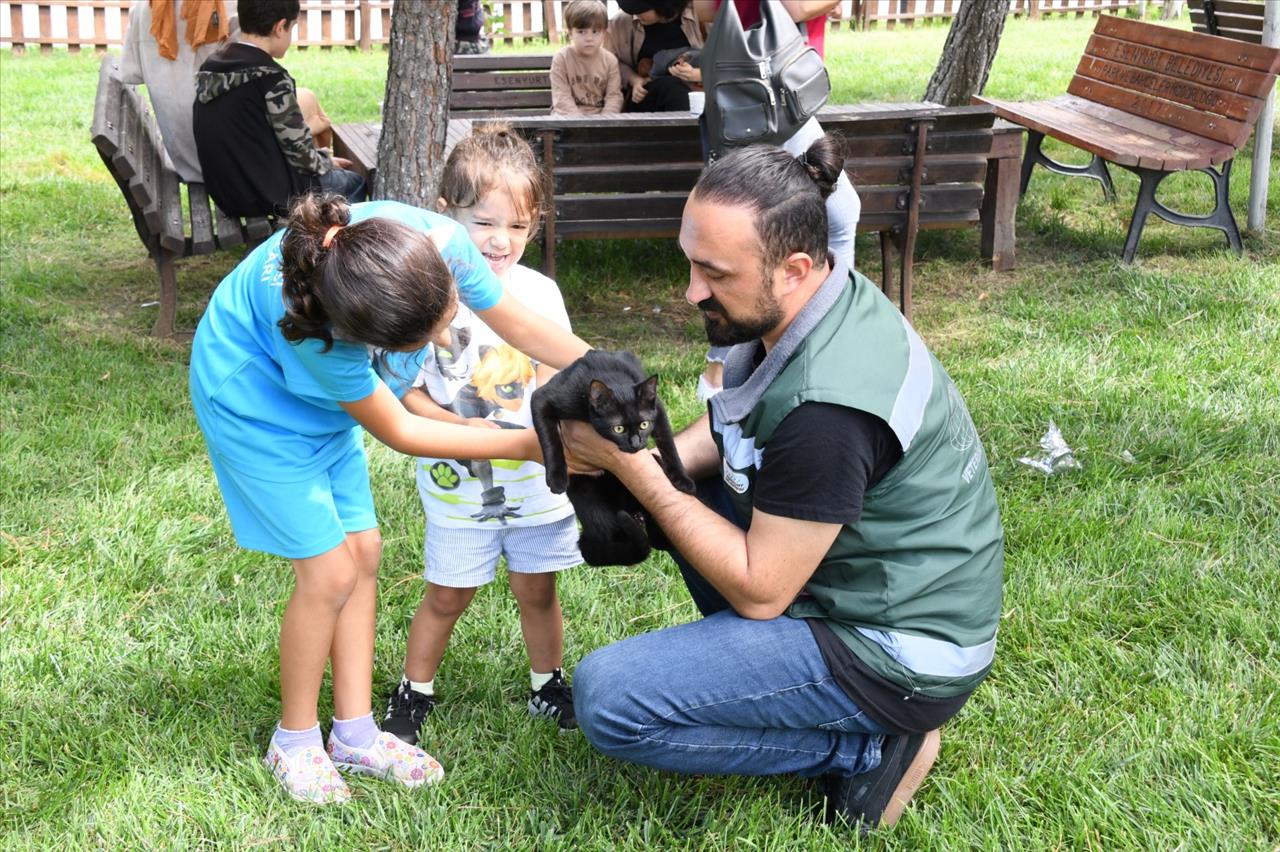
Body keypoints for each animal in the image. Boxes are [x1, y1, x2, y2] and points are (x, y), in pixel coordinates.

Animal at [527, 347, 696, 560]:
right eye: (618, 429)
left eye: (644, 424)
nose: (636, 444)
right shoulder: (545, 397)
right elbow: (549, 438)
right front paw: (556, 478)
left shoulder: (657, 408)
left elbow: (668, 442)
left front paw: (682, 479)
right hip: (587, 494)